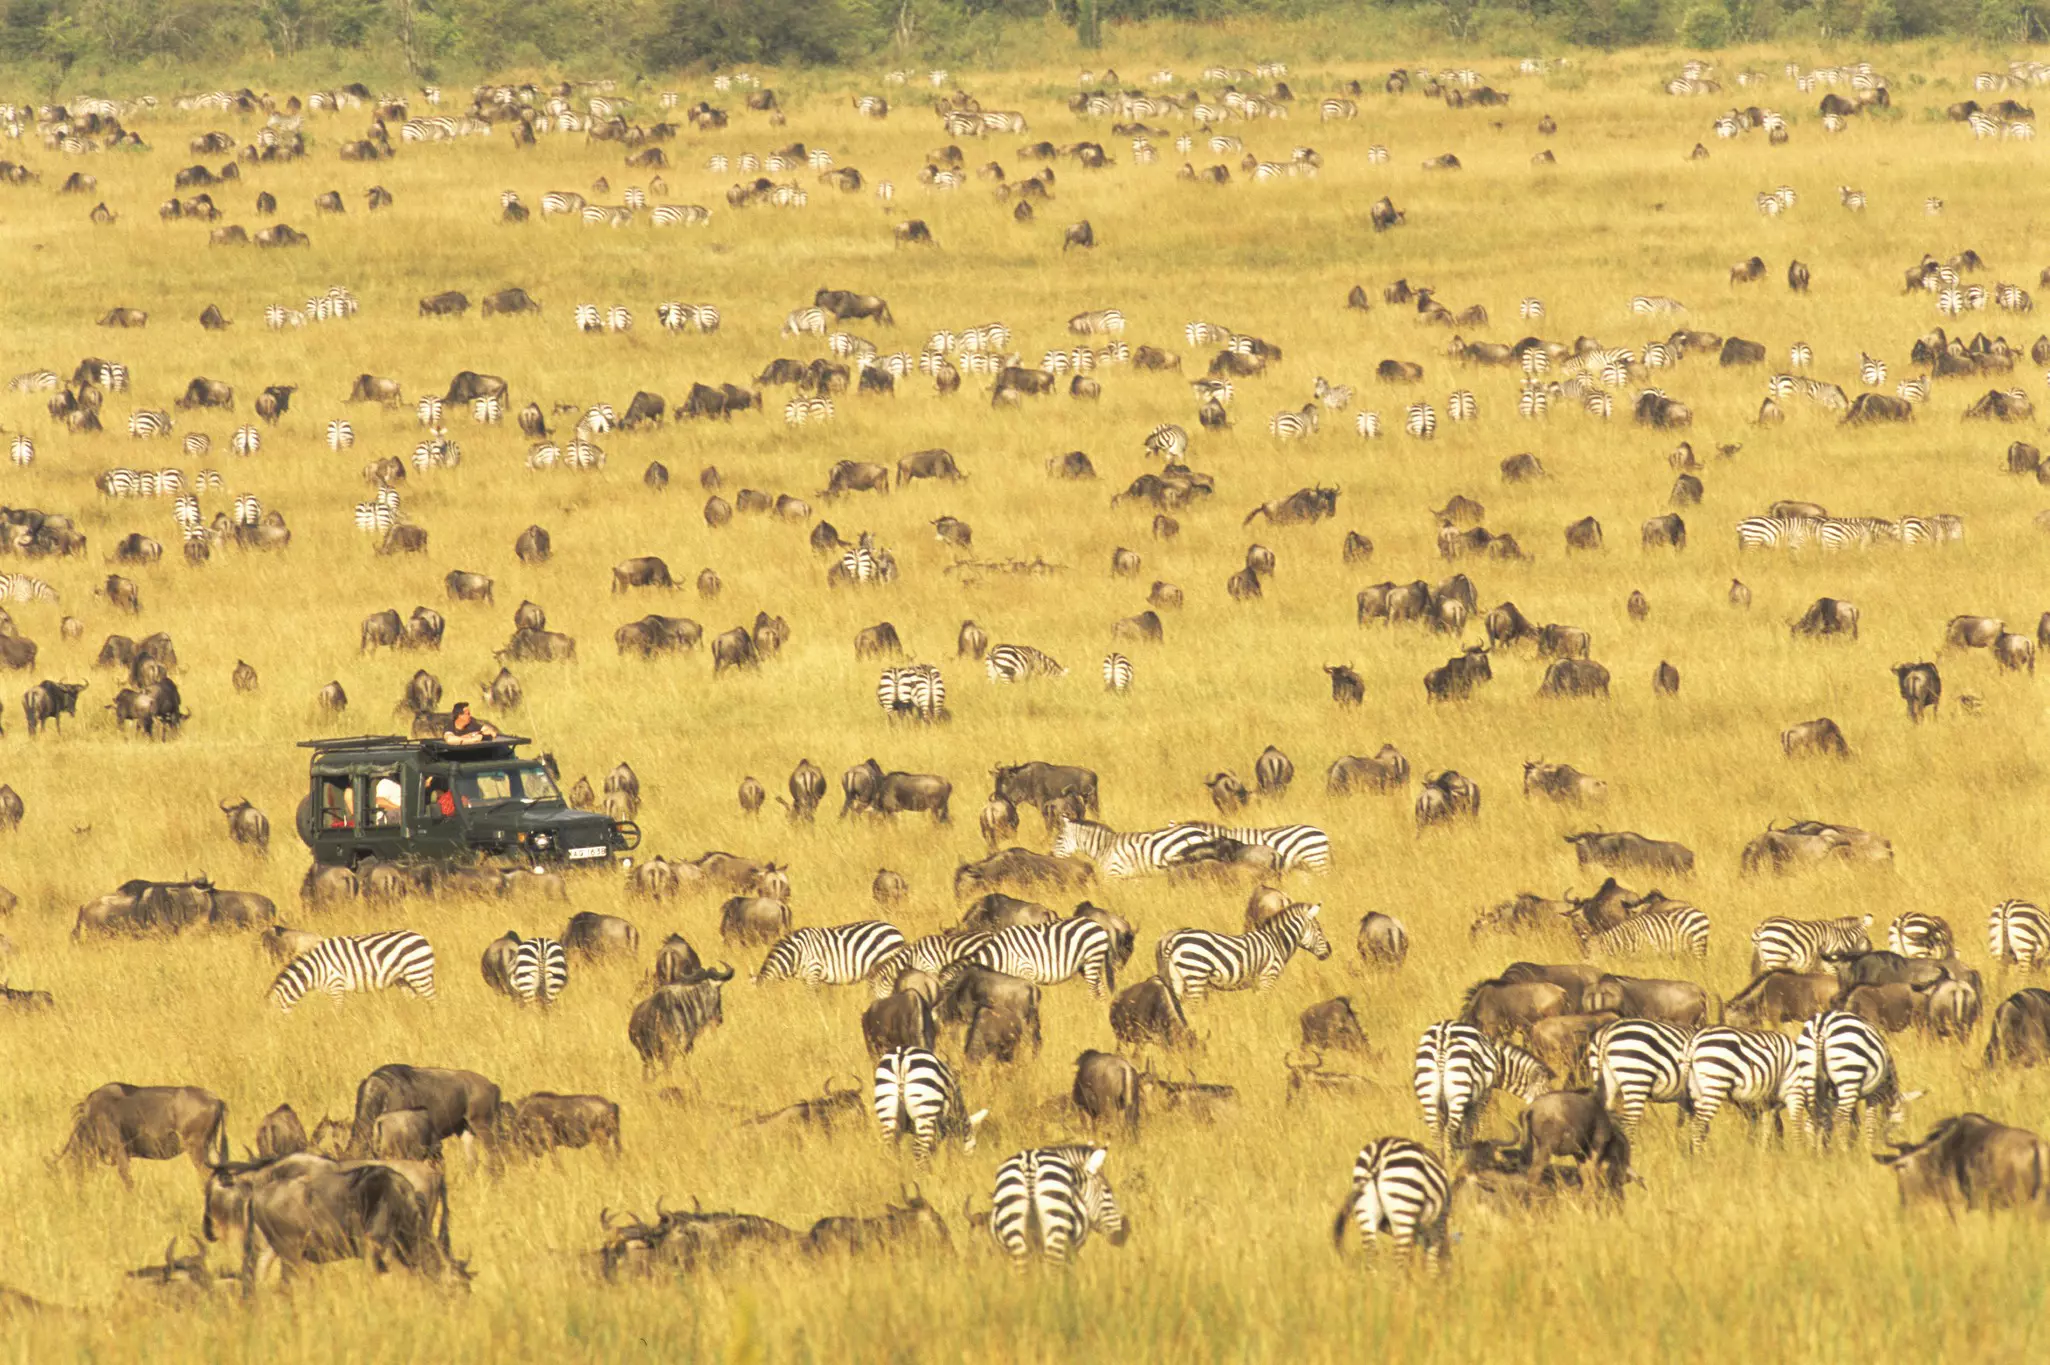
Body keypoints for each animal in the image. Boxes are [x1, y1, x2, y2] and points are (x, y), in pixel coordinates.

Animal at [267, 931, 437, 1013]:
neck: (314, 971)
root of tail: (420, 936)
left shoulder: (336, 984)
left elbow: (338, 1011)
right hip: (404, 979)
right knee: (413, 998)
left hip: (419, 973)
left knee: (433, 1000)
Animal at [969, 917, 1119, 997]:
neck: (1001, 956)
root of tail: (1097, 924)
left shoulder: (1026, 970)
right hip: (1087, 964)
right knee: (1100, 987)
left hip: (1092, 958)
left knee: (1094, 989)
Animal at [1156, 903, 1330, 1006]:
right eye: (1319, 929)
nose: (1330, 952)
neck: (1276, 942)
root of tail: (1174, 940)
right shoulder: (1268, 977)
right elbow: (1264, 1006)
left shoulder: (1257, 984)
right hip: (1196, 975)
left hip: (1178, 979)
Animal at [1573, 904, 1710, 959]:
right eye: (1586, 951)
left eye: (1590, 951)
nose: (1584, 962)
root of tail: (1699, 912)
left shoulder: (1645, 955)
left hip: (1698, 944)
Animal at [1788, 1011, 1908, 1147]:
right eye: (1898, 1125)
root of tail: (1822, 1025)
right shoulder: (1875, 1093)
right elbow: (1870, 1121)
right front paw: (1868, 1147)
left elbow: (1855, 1120)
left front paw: (1854, 1143)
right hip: (1849, 1071)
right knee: (1841, 1117)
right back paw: (1843, 1150)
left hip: (1809, 1072)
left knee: (1814, 1117)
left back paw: (1817, 1150)